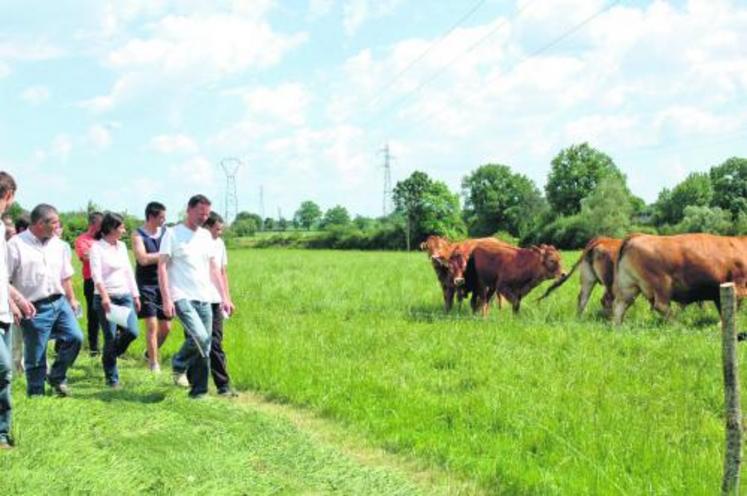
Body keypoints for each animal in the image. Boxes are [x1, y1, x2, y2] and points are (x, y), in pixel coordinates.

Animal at [612, 232, 747, 326]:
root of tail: (638, 236)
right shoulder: (738, 286)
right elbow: (733, 308)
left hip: (629, 285)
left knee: (620, 305)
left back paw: (618, 328)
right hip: (661, 284)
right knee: (661, 306)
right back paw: (678, 325)